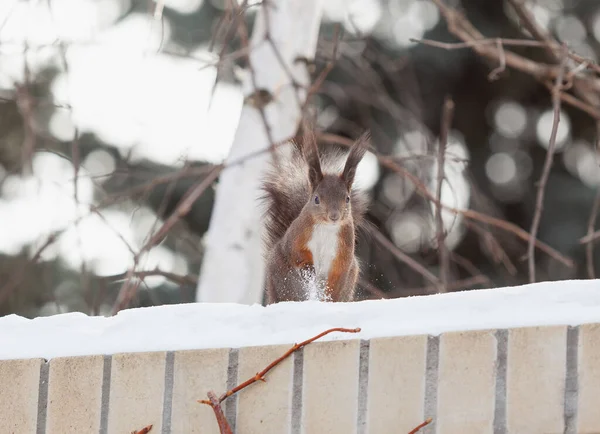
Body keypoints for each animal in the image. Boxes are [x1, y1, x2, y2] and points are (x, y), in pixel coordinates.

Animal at [258, 124, 368, 304]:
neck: (327, 228)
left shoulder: (343, 250)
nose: (334, 216)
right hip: (284, 280)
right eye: (316, 199)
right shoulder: (298, 235)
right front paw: (308, 269)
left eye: (347, 198)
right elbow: (296, 252)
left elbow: (339, 273)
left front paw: (329, 295)